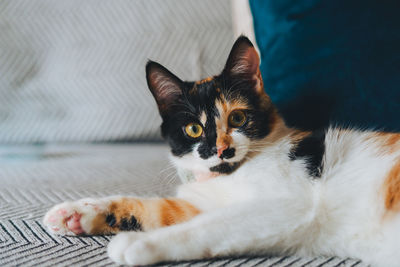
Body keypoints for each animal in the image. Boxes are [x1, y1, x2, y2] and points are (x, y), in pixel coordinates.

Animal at [43, 36, 400, 267]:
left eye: (238, 118)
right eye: (193, 129)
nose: (221, 149)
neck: (231, 175)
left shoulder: (290, 204)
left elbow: (209, 226)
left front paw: (136, 244)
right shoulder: (204, 201)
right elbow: (156, 209)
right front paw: (76, 214)